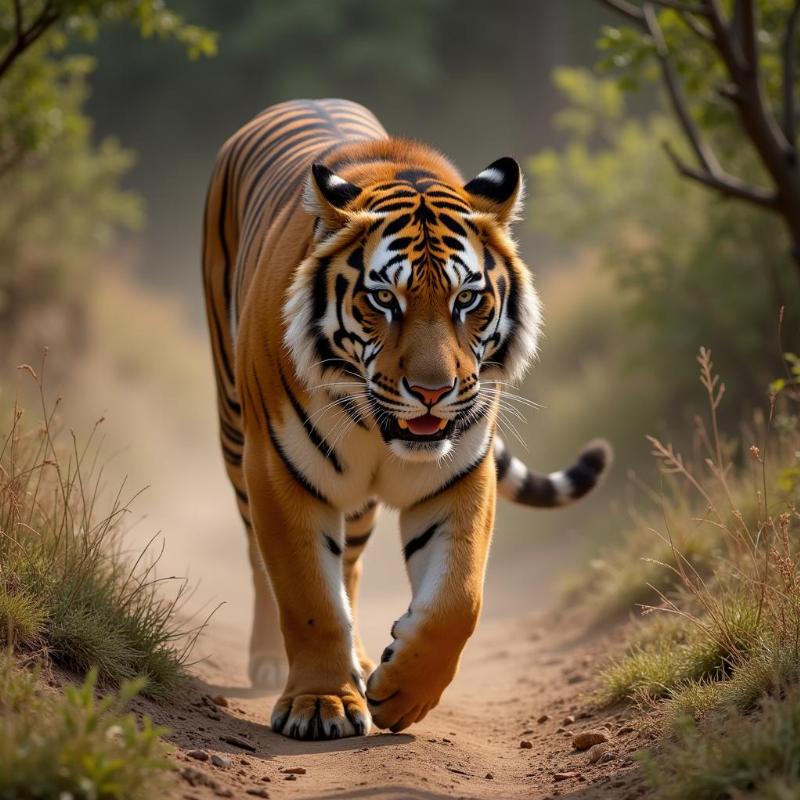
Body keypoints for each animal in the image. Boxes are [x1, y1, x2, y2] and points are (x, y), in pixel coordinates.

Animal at [202, 98, 612, 736]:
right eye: (383, 300)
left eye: (466, 299)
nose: (431, 392)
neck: (376, 427)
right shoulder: (279, 469)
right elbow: (307, 597)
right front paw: (320, 702)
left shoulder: (458, 474)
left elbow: (457, 600)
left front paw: (400, 693)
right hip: (235, 433)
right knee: (259, 559)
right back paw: (275, 661)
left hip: (355, 501)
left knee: (349, 564)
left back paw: (363, 662)